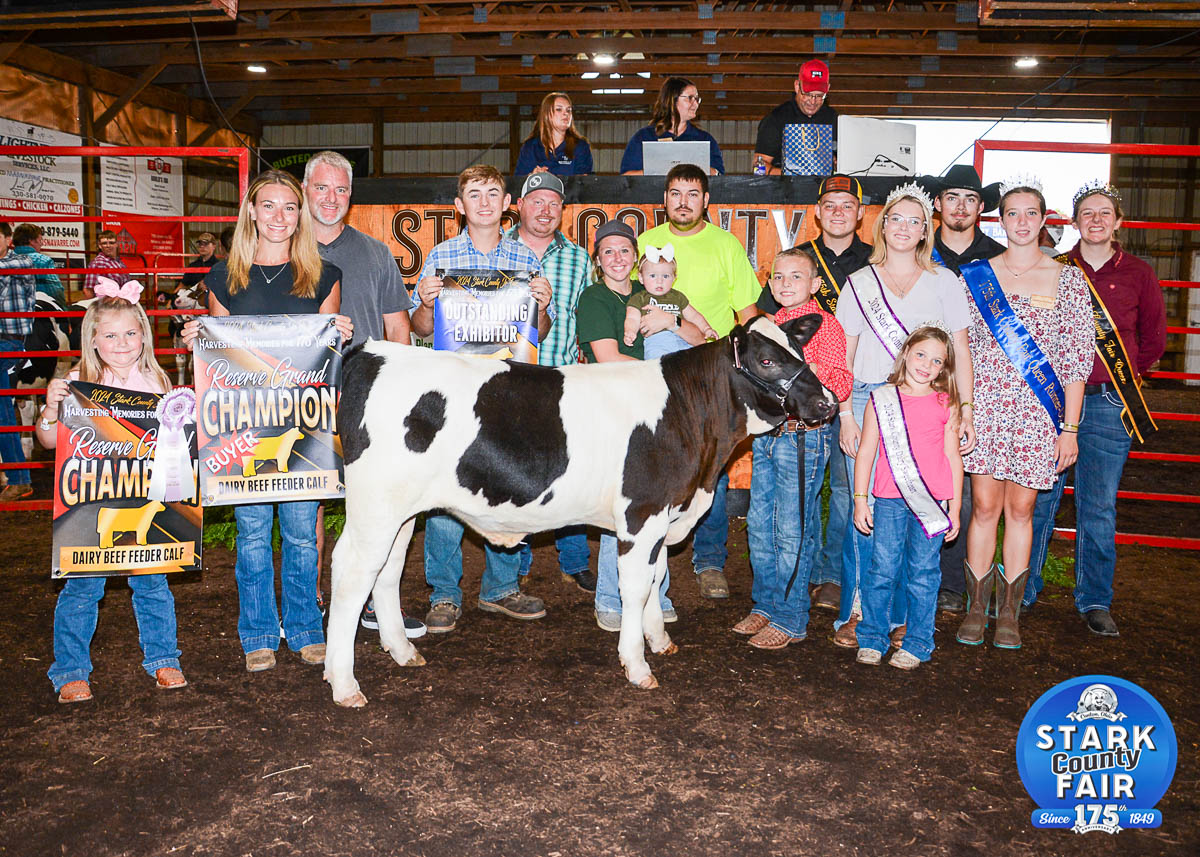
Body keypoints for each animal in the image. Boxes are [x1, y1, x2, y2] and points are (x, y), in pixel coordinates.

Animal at [324, 315, 837, 708]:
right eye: (767, 360)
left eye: (799, 350)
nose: (827, 402)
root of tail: (372, 352)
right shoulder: (642, 514)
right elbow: (635, 588)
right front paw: (636, 663)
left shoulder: (661, 518)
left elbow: (654, 579)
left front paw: (659, 641)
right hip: (375, 505)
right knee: (352, 573)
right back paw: (344, 682)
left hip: (401, 511)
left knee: (387, 570)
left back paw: (401, 651)